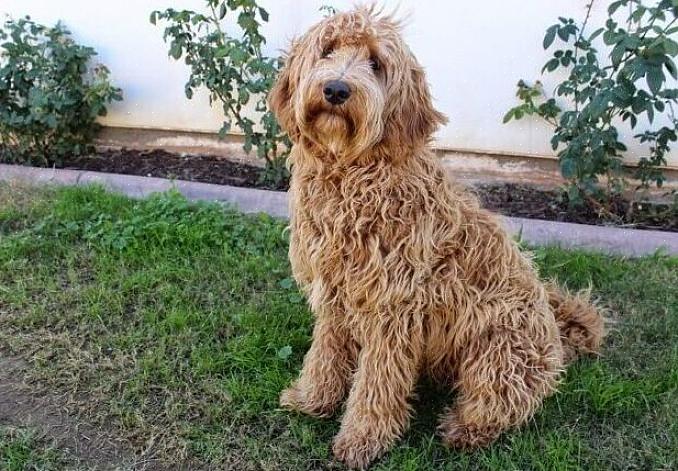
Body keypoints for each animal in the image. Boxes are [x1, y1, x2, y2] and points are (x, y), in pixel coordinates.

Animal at [268, 5, 604, 470]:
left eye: (376, 63)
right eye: (328, 50)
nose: (335, 89)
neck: (355, 174)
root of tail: (557, 335)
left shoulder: (393, 308)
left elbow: (377, 381)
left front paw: (362, 438)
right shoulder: (334, 292)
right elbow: (325, 353)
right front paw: (311, 399)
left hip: (498, 352)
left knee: (505, 403)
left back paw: (463, 428)